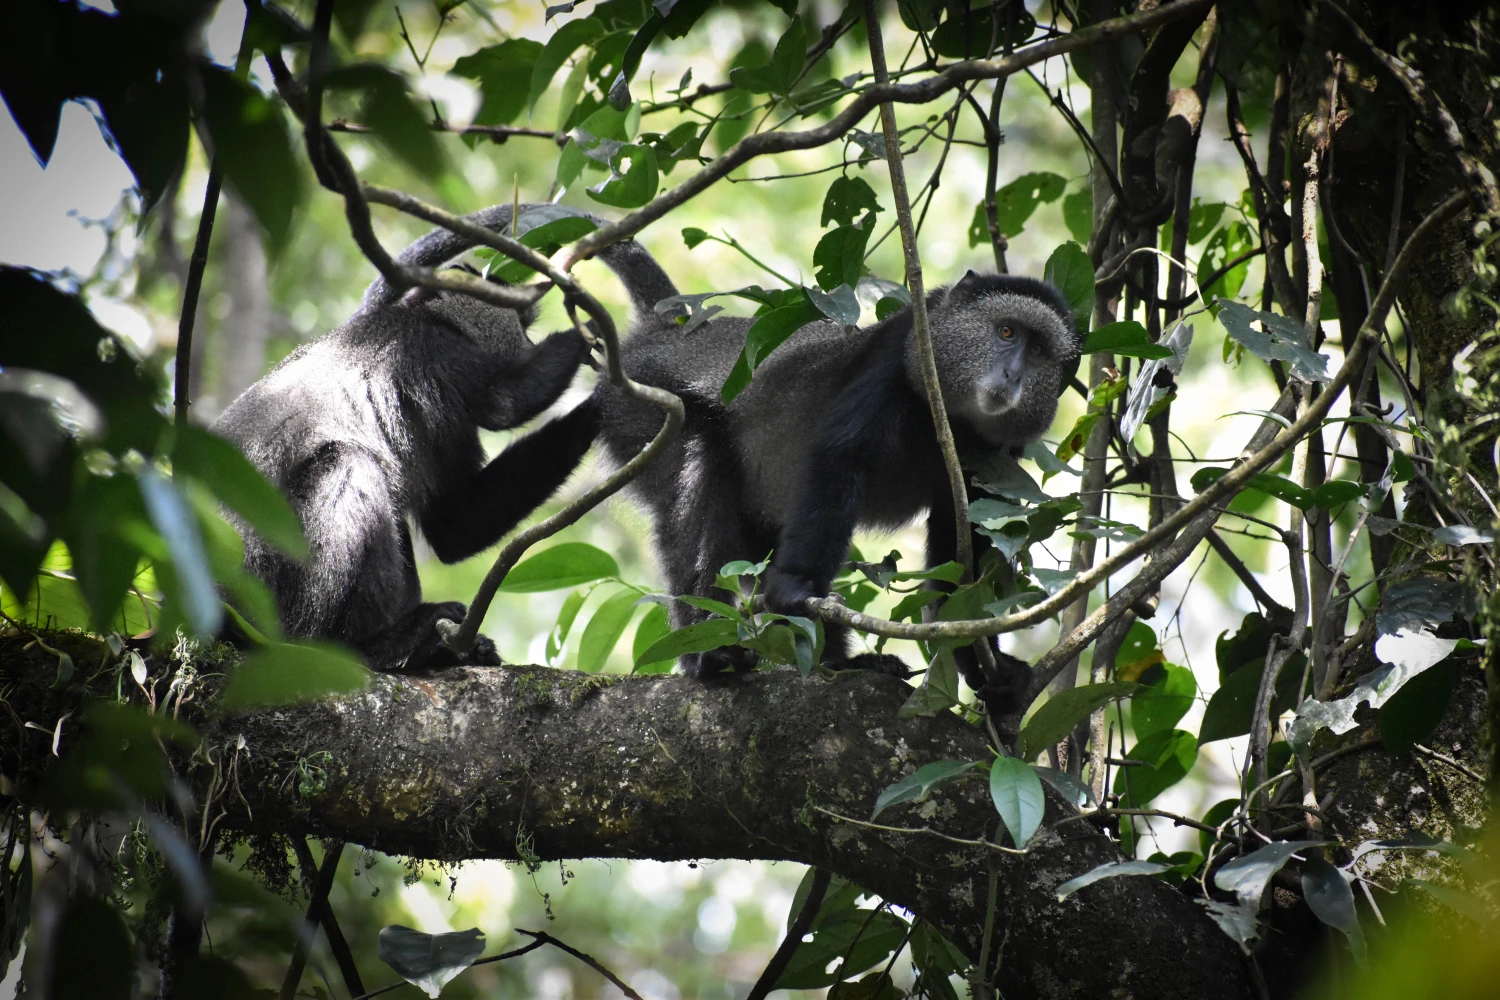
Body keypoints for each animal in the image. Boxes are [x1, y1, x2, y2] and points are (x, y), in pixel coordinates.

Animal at [213, 203, 675, 671]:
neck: (428, 316)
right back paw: (366, 645)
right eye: (521, 324)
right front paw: (587, 353)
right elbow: (504, 405)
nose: (528, 340)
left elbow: (454, 526)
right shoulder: (439, 353)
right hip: (270, 586)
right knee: (350, 466)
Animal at [588, 269, 1080, 707]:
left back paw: (840, 664)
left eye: (1039, 350)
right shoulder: (893, 358)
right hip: (644, 408)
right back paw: (709, 654)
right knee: (698, 480)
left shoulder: (997, 455)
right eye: (1005, 331)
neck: (950, 415)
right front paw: (796, 588)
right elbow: (840, 457)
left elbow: (965, 538)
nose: (1012, 374)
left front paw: (986, 665)